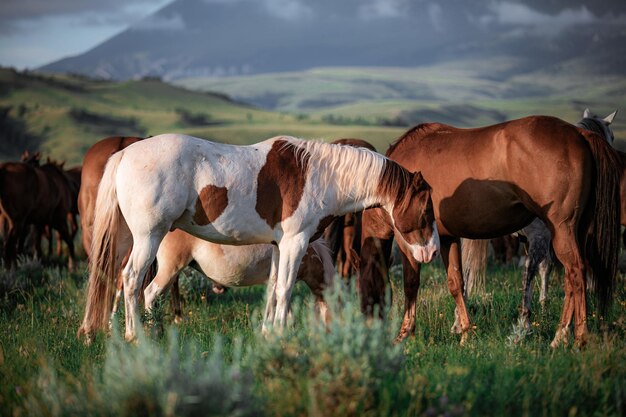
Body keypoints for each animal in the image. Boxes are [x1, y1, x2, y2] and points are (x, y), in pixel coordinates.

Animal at [356, 115, 620, 346]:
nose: (365, 331)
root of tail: (579, 134)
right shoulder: (447, 238)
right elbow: (456, 282)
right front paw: (465, 333)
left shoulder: (410, 242)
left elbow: (411, 284)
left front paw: (405, 334)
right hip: (577, 231)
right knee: (572, 277)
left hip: (561, 230)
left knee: (575, 272)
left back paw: (573, 337)